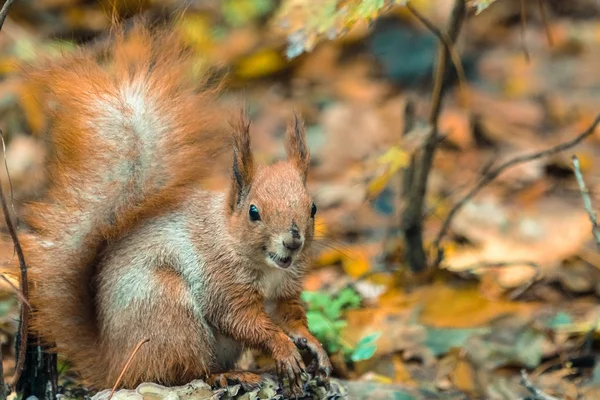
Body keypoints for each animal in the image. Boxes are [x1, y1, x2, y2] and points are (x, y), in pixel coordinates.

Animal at [7, 22, 330, 396]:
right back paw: (230, 376)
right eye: (253, 212)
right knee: (183, 373)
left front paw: (313, 346)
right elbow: (242, 320)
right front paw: (283, 350)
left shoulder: (284, 290)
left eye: (312, 207)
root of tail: (114, 363)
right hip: (171, 314)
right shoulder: (220, 281)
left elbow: (290, 316)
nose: (293, 241)